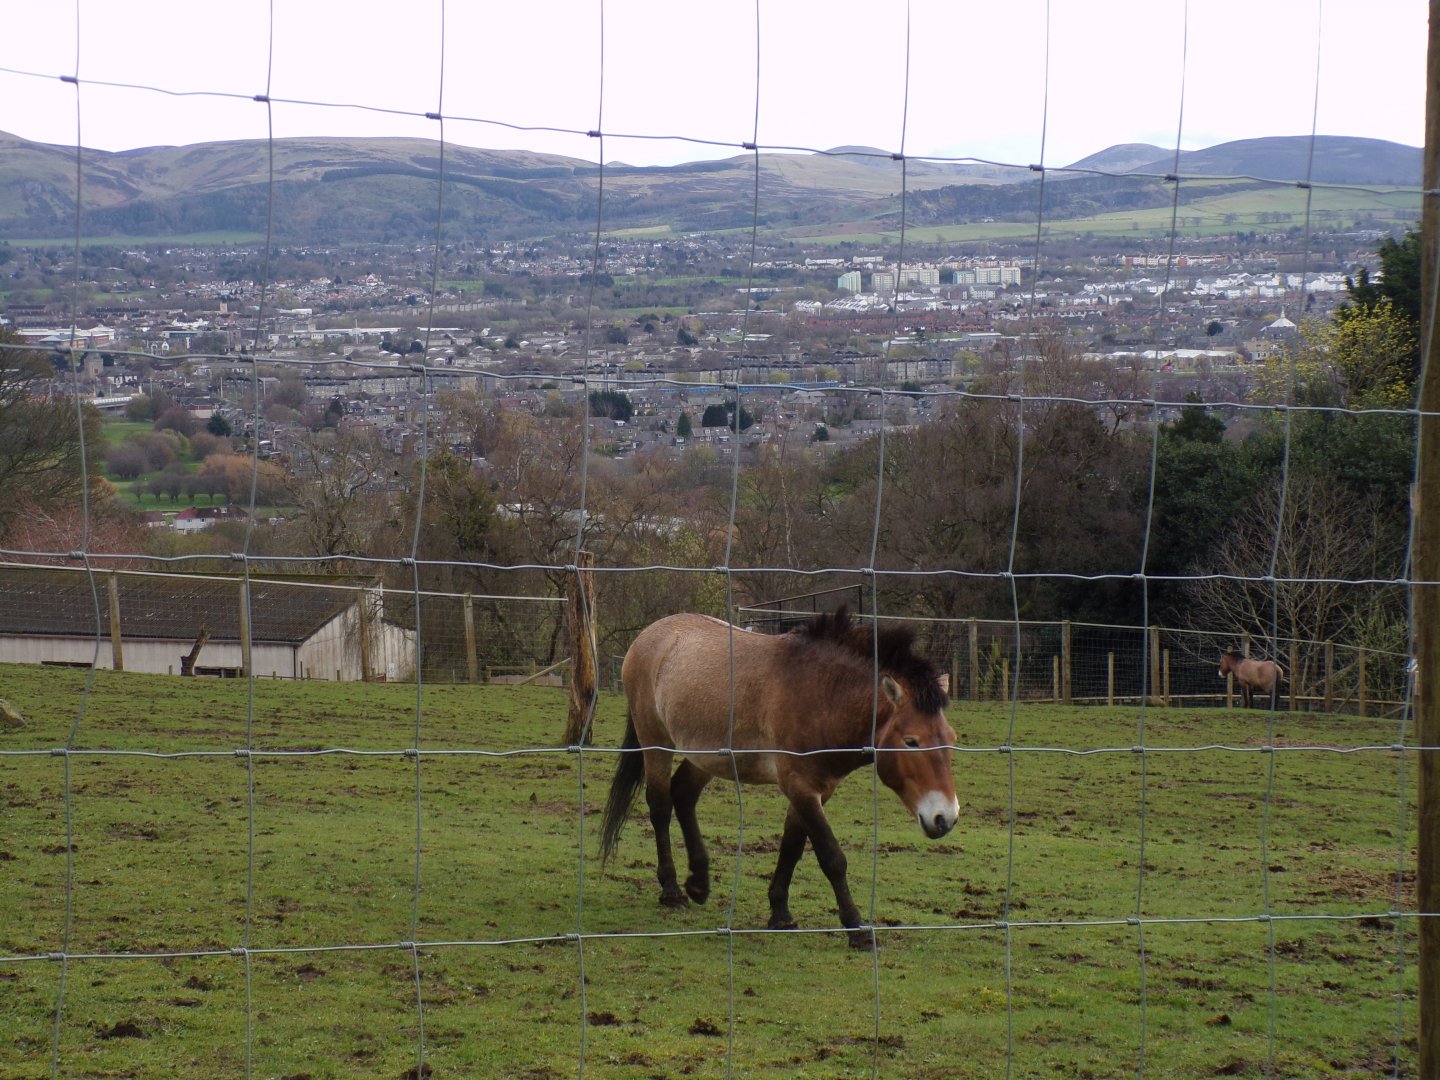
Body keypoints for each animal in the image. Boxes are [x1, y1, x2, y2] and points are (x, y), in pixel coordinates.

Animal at [600, 606, 958, 950]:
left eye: (951, 738)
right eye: (911, 741)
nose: (945, 818)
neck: (821, 694)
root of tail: (648, 636)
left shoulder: (818, 789)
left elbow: (792, 846)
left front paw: (780, 912)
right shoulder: (798, 785)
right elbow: (832, 857)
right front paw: (856, 928)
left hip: (708, 755)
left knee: (683, 794)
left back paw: (699, 883)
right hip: (655, 741)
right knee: (660, 806)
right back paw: (672, 890)